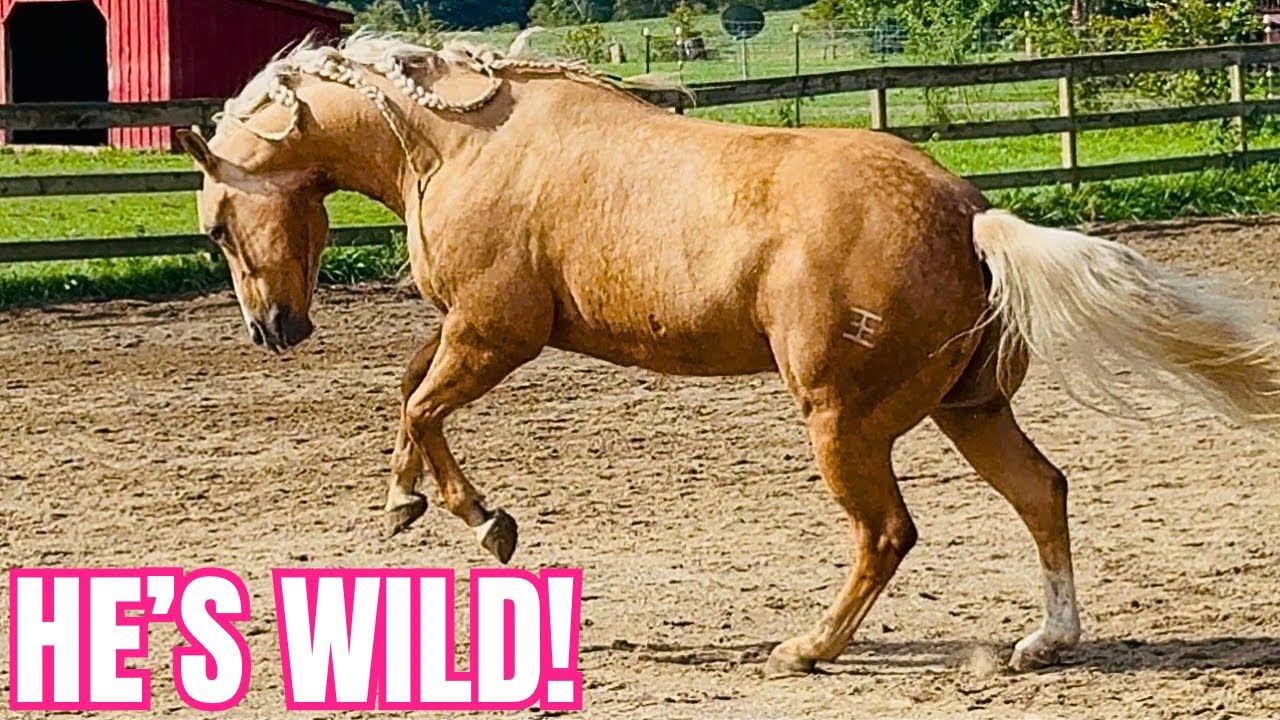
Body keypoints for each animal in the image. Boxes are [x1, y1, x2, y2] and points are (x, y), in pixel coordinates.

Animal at [176, 32, 1280, 678]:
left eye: (218, 224)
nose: (273, 331)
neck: (459, 143)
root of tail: (969, 215)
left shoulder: (496, 331)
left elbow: (417, 405)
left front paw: (483, 522)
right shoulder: (466, 331)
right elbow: (409, 395)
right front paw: (408, 501)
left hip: (844, 421)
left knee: (888, 534)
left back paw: (804, 649)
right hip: (965, 409)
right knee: (1041, 492)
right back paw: (1040, 642)